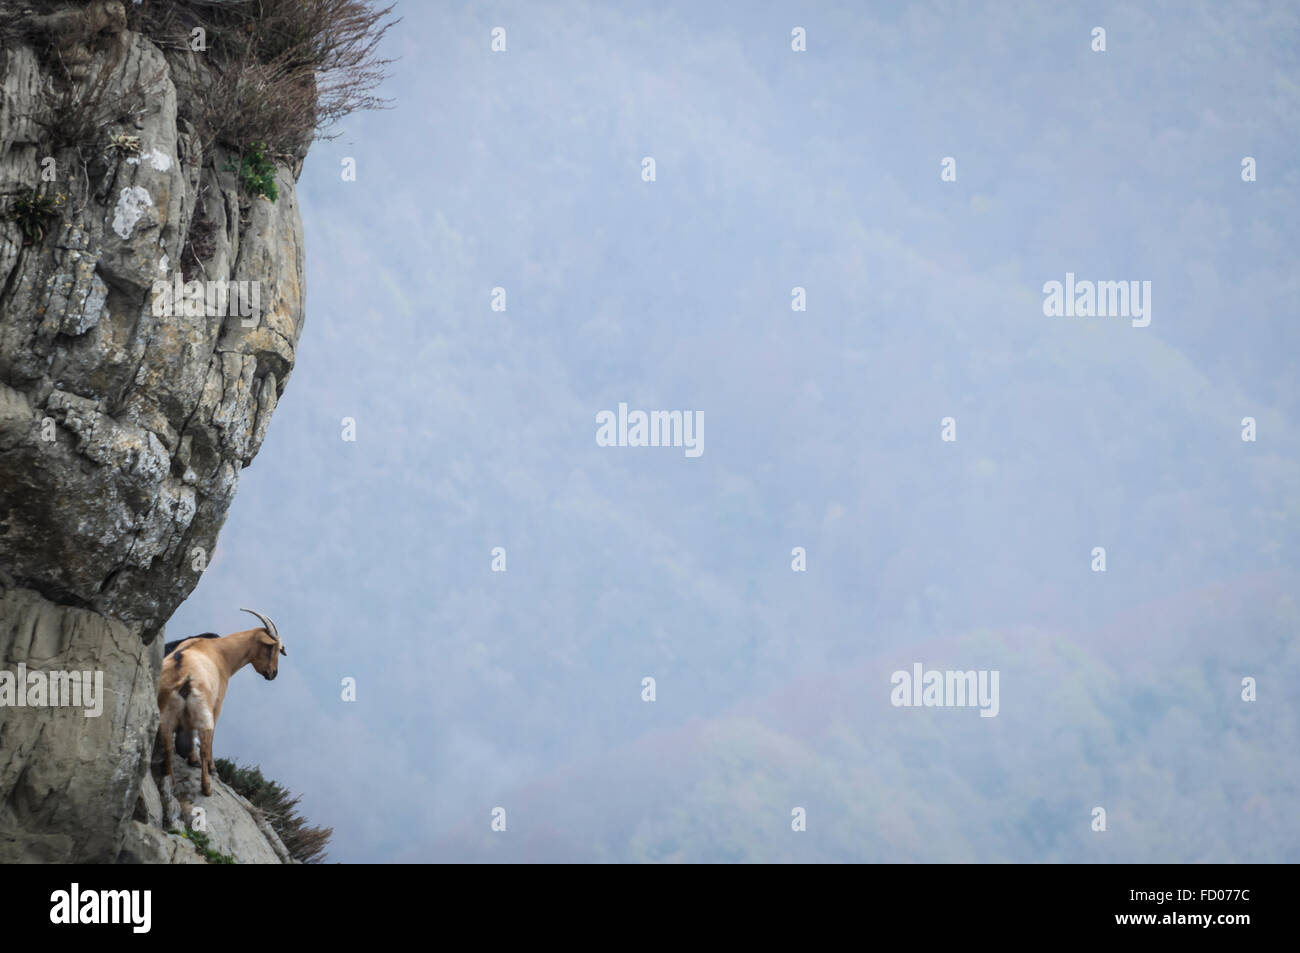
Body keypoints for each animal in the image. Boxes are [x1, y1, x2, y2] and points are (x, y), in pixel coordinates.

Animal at [157, 608, 287, 795]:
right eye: (271, 647)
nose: (273, 674)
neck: (220, 652)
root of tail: (183, 677)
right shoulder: (217, 704)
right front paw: (211, 768)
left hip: (167, 713)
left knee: (167, 743)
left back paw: (171, 782)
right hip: (203, 712)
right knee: (204, 745)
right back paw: (206, 787)